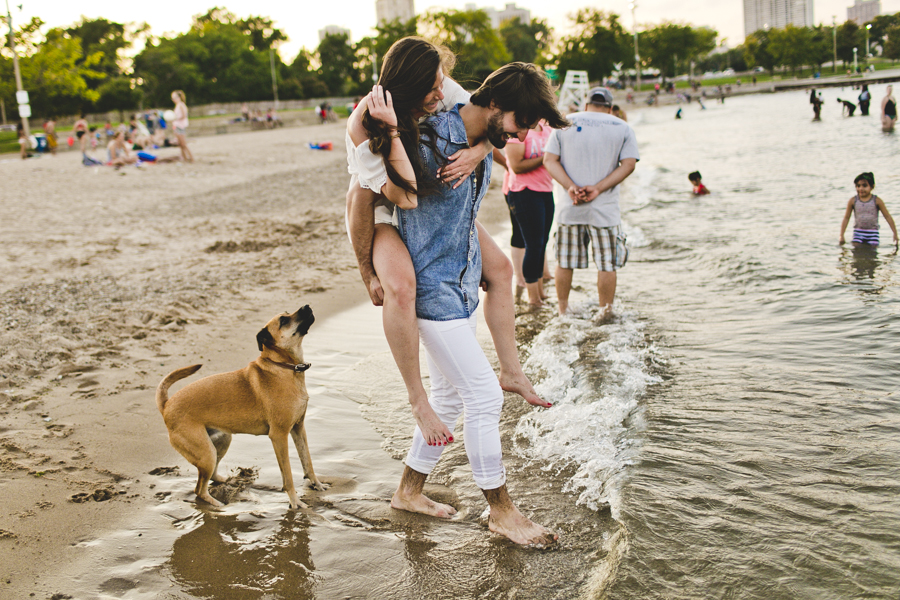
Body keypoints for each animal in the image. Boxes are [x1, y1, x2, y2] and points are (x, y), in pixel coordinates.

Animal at [155, 308, 324, 508]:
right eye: (283, 320)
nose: (307, 306)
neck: (284, 366)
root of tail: (167, 405)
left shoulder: (298, 428)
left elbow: (307, 461)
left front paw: (316, 484)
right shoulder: (279, 436)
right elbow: (288, 476)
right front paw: (295, 502)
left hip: (221, 441)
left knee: (211, 476)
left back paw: (230, 481)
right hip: (206, 453)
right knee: (199, 489)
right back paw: (218, 505)